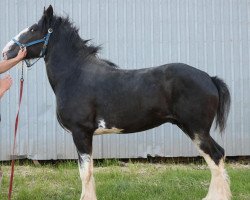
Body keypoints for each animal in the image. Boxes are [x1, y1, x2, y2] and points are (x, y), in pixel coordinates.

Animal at [2, 5, 232, 200]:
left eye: (33, 29)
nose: (6, 51)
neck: (75, 75)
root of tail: (209, 78)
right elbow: (88, 171)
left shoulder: (81, 132)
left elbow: (85, 173)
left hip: (196, 129)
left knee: (216, 156)